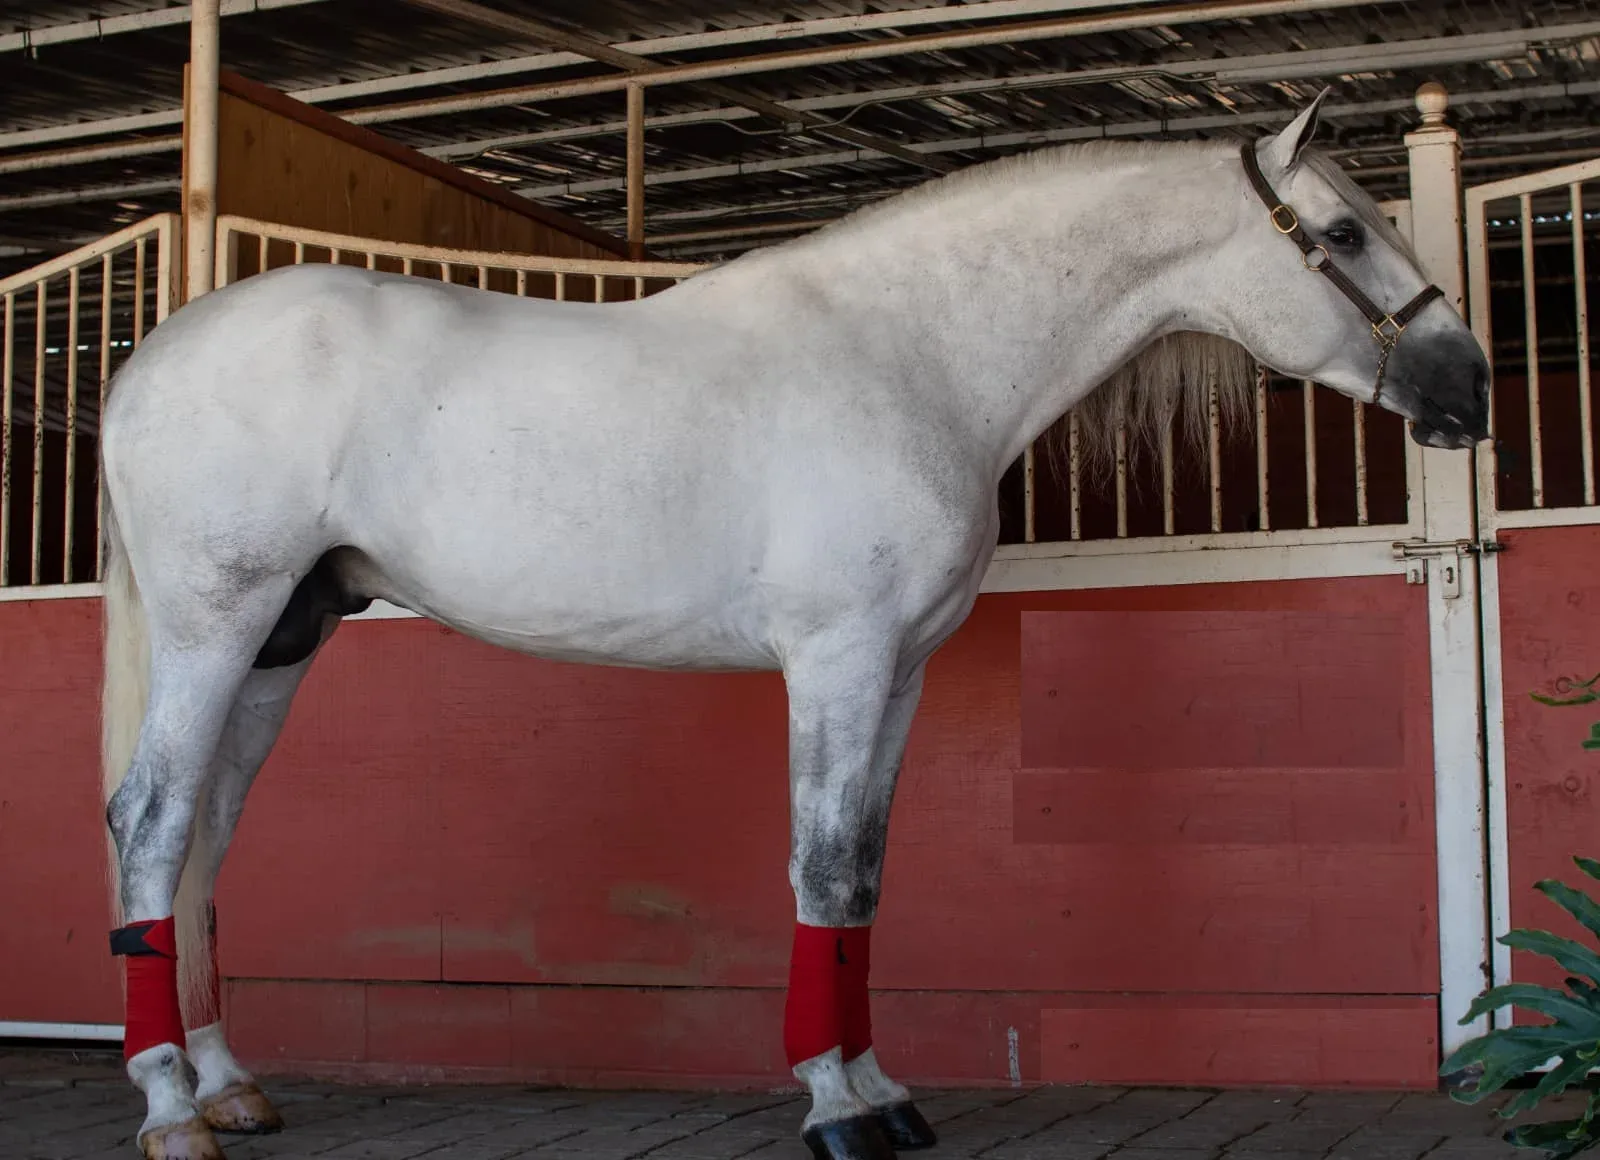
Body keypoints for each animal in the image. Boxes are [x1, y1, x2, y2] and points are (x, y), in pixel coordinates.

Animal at [97, 91, 1488, 1160]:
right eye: (1344, 230)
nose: (1469, 390)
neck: (908, 357)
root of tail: (143, 360)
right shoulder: (836, 656)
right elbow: (819, 868)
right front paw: (834, 1109)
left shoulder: (903, 670)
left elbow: (862, 876)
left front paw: (880, 1090)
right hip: (214, 625)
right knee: (152, 823)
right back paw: (172, 1110)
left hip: (280, 641)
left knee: (208, 835)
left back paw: (229, 1083)